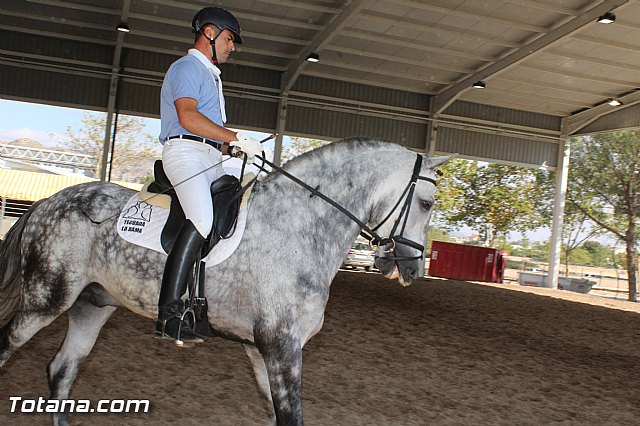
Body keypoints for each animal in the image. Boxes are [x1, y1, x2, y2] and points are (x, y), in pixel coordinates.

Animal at [0, 137, 452, 425]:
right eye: (427, 203)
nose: (413, 269)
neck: (299, 225)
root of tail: (49, 202)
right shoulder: (281, 346)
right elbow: (291, 416)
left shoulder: (261, 349)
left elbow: (276, 415)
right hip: (46, 299)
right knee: (10, 348)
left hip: (92, 304)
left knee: (62, 370)